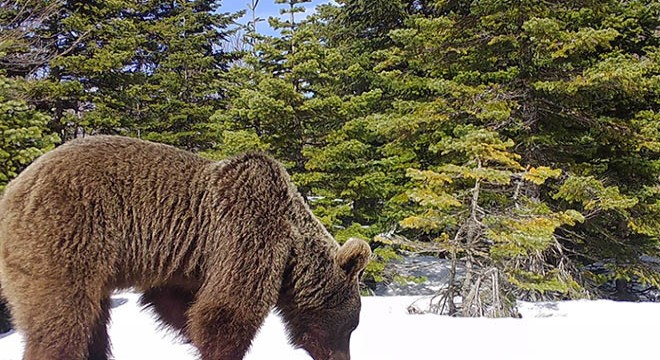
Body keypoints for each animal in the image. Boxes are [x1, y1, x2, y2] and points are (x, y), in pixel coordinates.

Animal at [0, 136, 372, 360]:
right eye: (350, 326)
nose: (342, 357)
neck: (292, 252)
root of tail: (13, 191)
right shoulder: (248, 231)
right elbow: (227, 311)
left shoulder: (187, 260)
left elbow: (175, 305)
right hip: (67, 236)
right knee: (63, 317)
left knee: (93, 322)